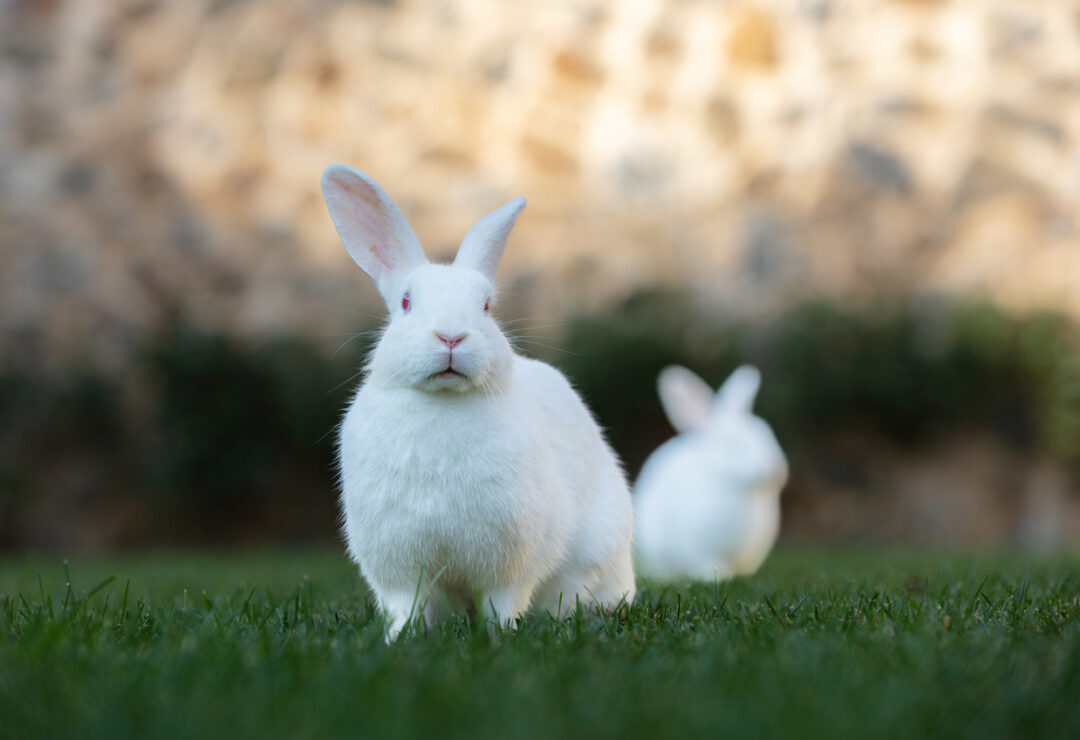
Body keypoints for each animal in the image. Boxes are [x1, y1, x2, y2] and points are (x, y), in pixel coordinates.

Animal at [324, 164, 635, 639]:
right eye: (406, 302)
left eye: (487, 306)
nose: (451, 336)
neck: (444, 403)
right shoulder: (400, 570)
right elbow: (408, 606)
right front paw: (399, 639)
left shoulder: (511, 566)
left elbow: (501, 603)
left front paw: (500, 636)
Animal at [630, 362, 786, 583]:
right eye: (733, 445)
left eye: (767, 434)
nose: (775, 470)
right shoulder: (693, 547)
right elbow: (705, 564)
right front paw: (718, 576)